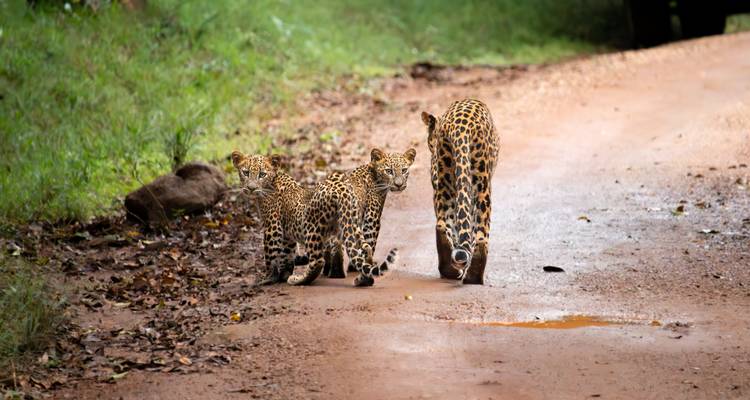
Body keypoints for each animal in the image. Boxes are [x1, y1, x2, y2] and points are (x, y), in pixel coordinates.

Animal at [231, 151, 376, 287]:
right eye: (245, 172)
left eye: (262, 174)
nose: (251, 188)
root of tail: (340, 190)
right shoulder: (286, 232)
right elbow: (287, 254)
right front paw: (283, 275)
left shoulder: (273, 227)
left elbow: (271, 255)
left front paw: (267, 279)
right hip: (348, 224)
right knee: (365, 247)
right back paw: (364, 279)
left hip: (312, 227)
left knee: (318, 261)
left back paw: (299, 280)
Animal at [322, 147, 416, 279]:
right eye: (389, 171)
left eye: (404, 170)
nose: (399, 185)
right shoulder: (371, 218)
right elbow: (369, 243)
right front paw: (365, 265)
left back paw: (330, 271)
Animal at [421, 99, 499, 284]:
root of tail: (460, 125)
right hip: (482, 185)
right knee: (481, 234)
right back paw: (473, 276)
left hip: (446, 182)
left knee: (442, 224)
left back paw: (451, 270)